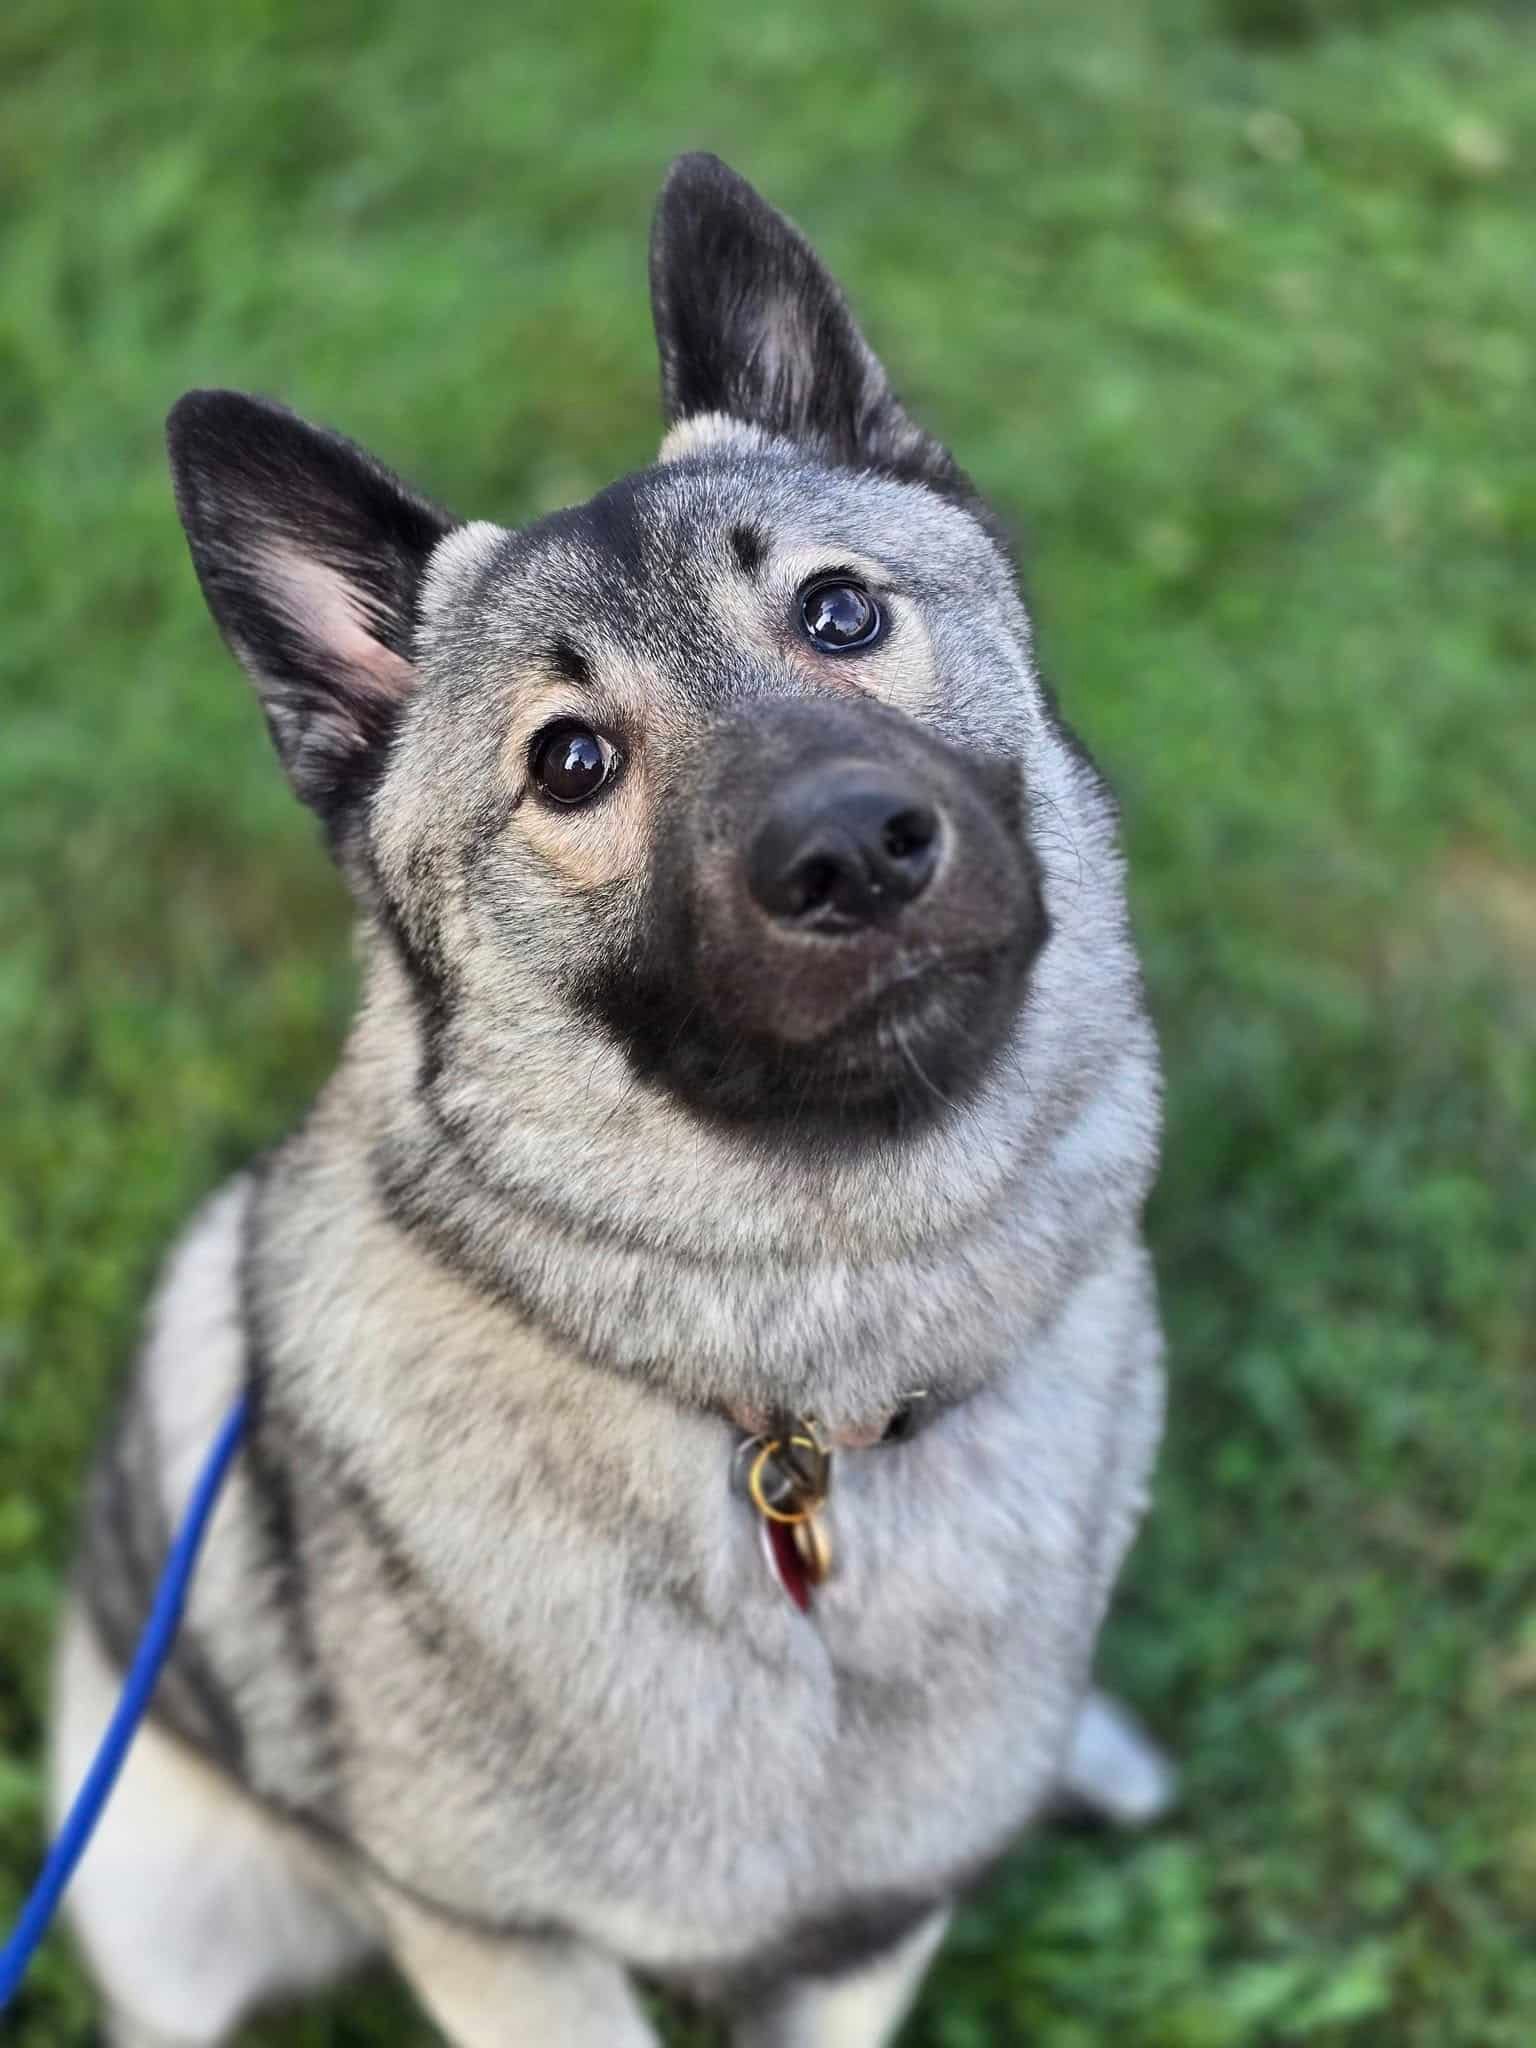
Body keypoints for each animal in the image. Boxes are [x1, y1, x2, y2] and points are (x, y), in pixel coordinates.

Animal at [50, 154, 1169, 2047]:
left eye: (842, 612)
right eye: (569, 760)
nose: (854, 852)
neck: (801, 1417)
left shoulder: (865, 1943)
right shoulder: (511, 1949)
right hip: (163, 1881)